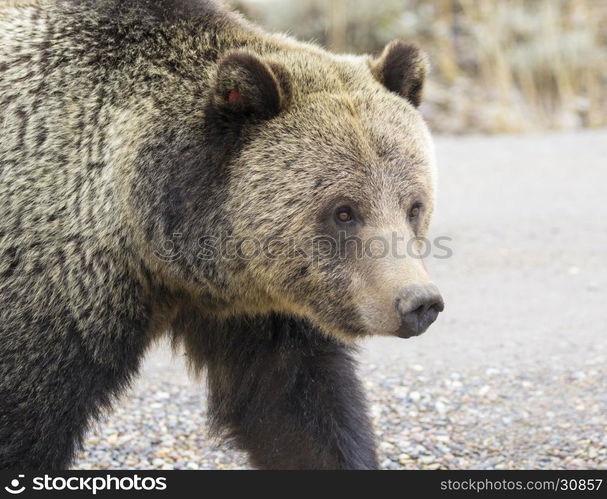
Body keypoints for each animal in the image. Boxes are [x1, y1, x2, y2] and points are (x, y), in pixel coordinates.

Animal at [0, 0, 446, 470]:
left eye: (414, 206)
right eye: (343, 211)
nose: (418, 301)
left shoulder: (257, 311)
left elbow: (298, 408)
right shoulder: (56, 292)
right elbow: (28, 421)